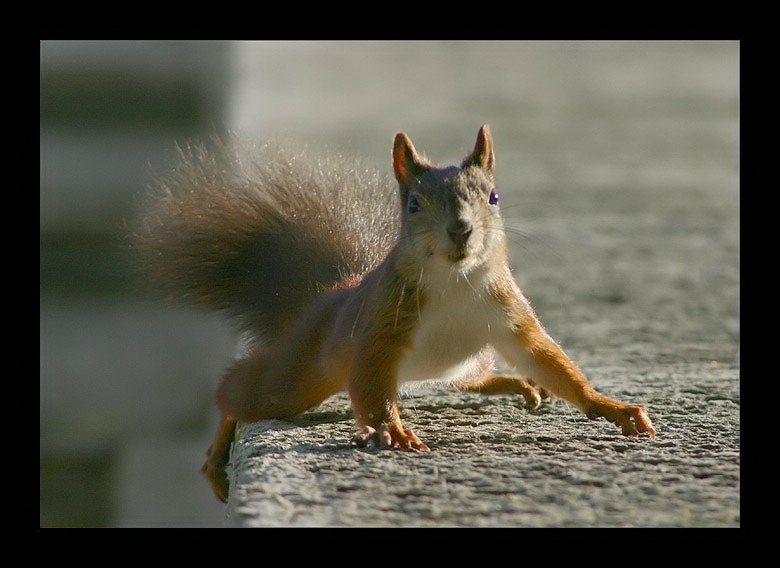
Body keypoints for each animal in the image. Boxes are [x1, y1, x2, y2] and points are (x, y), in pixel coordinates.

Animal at [137, 124, 656, 502]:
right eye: (413, 203)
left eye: (493, 197)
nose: (461, 230)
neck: (456, 279)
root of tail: (328, 297)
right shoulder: (383, 327)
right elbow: (373, 381)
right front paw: (390, 428)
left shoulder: (509, 319)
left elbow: (548, 361)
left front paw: (609, 406)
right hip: (302, 373)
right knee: (242, 393)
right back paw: (220, 443)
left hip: (468, 355)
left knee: (470, 378)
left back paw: (513, 384)